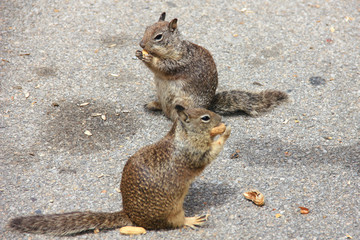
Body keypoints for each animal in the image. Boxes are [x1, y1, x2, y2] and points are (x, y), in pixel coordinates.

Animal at [7, 105, 231, 236]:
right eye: (205, 117)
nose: (221, 117)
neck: (183, 135)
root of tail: (130, 216)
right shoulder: (194, 153)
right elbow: (210, 154)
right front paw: (224, 133)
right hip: (173, 211)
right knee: (176, 223)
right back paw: (192, 220)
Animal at [136, 12, 288, 121]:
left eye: (158, 37)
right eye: (146, 28)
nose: (141, 44)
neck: (174, 47)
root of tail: (208, 108)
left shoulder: (181, 61)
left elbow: (165, 67)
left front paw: (149, 58)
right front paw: (139, 54)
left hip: (183, 104)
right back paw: (153, 104)